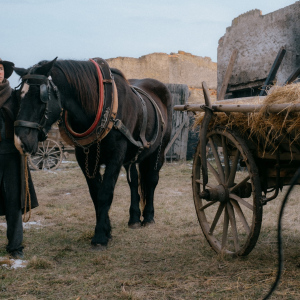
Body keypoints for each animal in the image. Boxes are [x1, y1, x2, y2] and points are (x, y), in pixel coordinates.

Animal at [14, 58, 172, 248]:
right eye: (19, 96)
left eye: (41, 97)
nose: (20, 141)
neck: (100, 105)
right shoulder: (85, 157)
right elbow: (95, 193)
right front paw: (106, 230)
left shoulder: (116, 156)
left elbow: (105, 193)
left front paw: (100, 237)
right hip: (132, 158)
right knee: (134, 182)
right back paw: (134, 218)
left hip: (159, 151)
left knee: (151, 180)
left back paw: (148, 217)